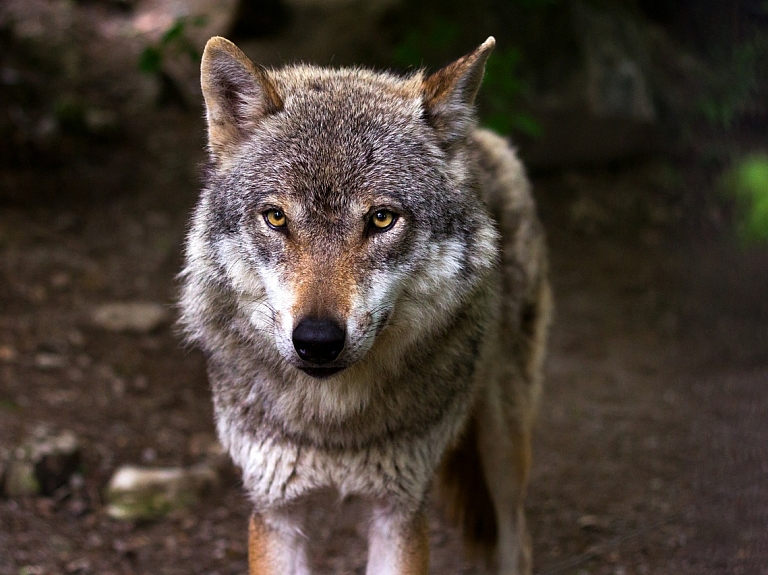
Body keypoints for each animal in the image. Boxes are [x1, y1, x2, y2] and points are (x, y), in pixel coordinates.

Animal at [180, 35, 552, 575]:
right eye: (276, 217)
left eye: (381, 219)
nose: (317, 341)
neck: (333, 424)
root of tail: (479, 137)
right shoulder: (275, 511)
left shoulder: (399, 510)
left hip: (504, 445)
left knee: (516, 538)